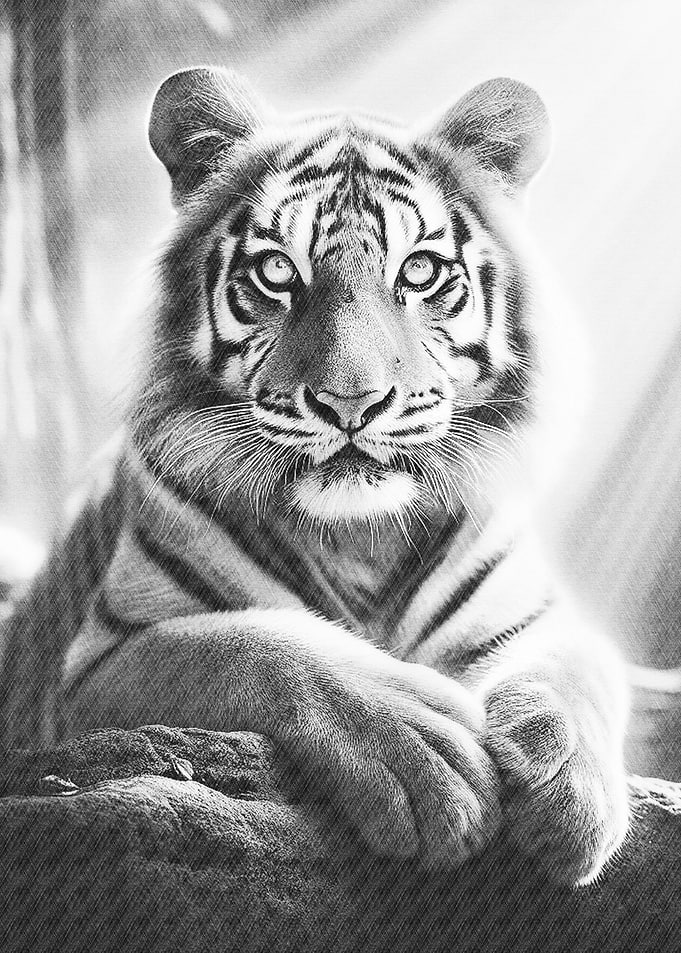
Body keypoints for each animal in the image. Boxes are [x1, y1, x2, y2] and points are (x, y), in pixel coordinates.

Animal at [0, 67, 629, 886]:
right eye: (277, 272)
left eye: (419, 271)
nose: (351, 402)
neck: (358, 535)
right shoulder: (95, 670)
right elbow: (247, 645)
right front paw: (425, 754)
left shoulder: (534, 614)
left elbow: (582, 668)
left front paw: (569, 787)